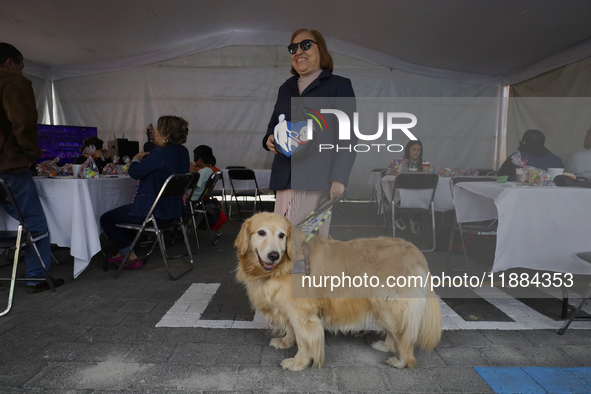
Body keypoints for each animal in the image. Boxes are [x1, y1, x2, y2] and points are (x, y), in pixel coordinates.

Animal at [234, 212, 442, 370]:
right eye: (261, 232)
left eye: (282, 235)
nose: (273, 255)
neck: (283, 266)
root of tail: (416, 252)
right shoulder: (290, 309)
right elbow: (292, 331)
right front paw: (285, 342)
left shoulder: (302, 314)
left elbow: (303, 340)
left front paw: (298, 362)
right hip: (382, 305)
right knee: (394, 332)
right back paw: (386, 346)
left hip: (390, 305)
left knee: (404, 336)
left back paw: (402, 361)